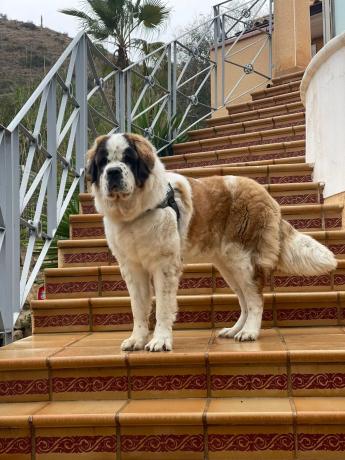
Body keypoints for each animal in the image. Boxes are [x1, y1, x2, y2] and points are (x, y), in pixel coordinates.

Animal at [86, 133, 336, 352]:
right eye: (103, 162)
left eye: (128, 158)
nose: (113, 172)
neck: (134, 213)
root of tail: (264, 194)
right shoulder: (132, 268)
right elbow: (138, 307)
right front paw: (136, 340)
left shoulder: (164, 266)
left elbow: (163, 308)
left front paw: (160, 341)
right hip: (228, 266)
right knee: (244, 299)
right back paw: (235, 330)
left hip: (242, 260)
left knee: (255, 297)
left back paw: (250, 332)